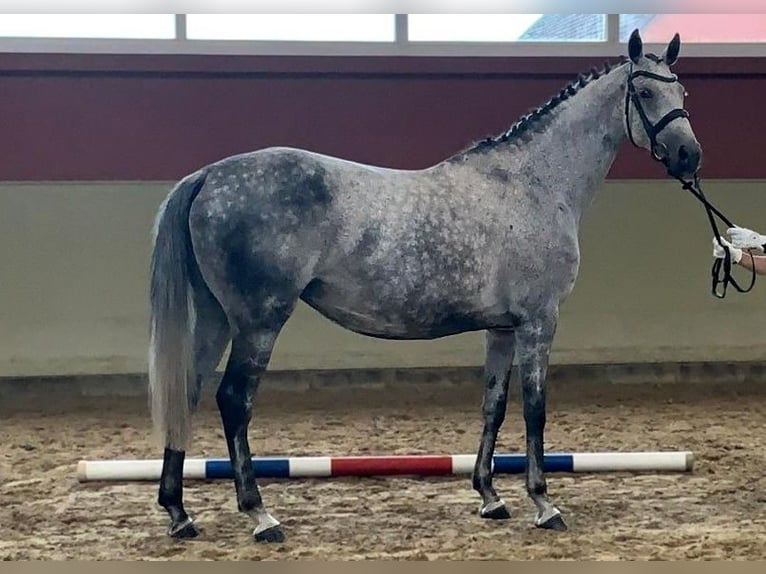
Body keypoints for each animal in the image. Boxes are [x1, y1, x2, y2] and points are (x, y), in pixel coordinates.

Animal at [147, 30, 704, 544]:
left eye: (681, 91)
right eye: (645, 91)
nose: (688, 155)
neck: (533, 184)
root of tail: (208, 175)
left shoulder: (502, 329)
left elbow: (493, 405)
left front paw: (490, 496)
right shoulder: (538, 322)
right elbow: (536, 409)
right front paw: (543, 503)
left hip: (218, 318)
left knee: (188, 392)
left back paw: (179, 513)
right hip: (259, 321)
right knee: (233, 401)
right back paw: (260, 515)